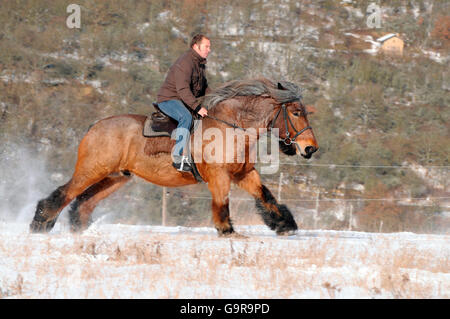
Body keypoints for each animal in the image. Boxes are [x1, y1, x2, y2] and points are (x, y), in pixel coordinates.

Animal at [29, 78, 316, 238]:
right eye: (296, 112)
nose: (310, 148)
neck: (230, 127)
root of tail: (95, 126)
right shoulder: (220, 177)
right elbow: (222, 205)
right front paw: (227, 230)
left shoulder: (244, 174)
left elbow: (266, 196)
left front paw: (285, 224)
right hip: (91, 170)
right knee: (64, 193)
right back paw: (40, 223)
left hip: (115, 177)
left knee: (84, 202)